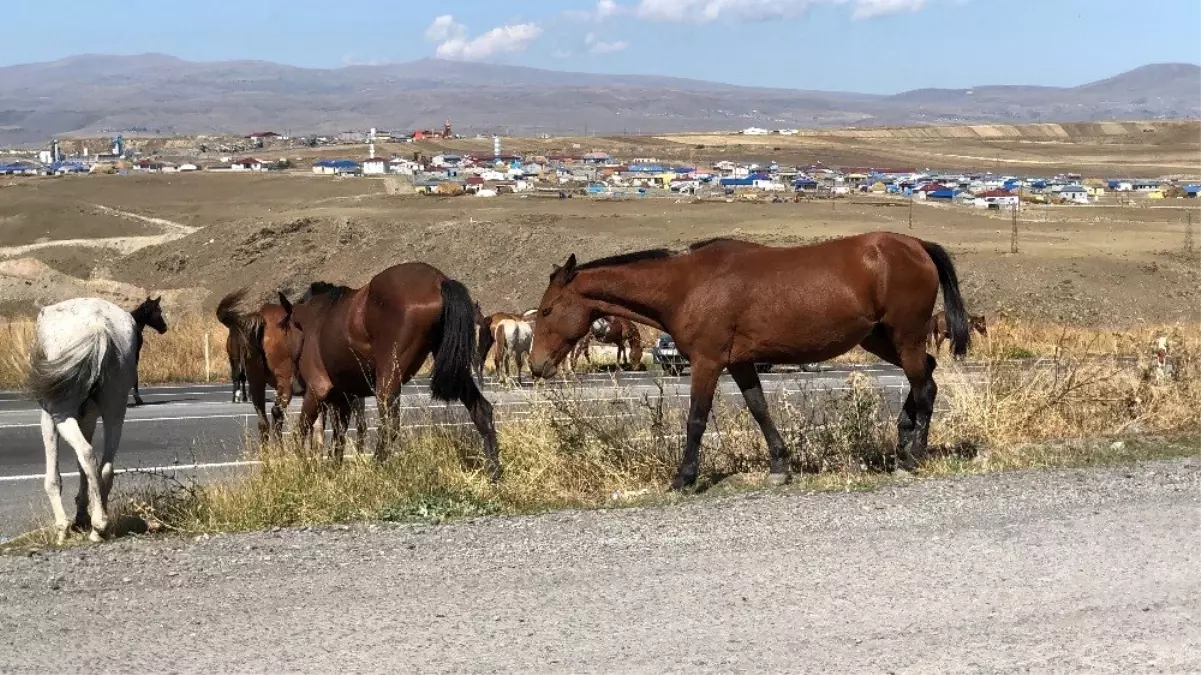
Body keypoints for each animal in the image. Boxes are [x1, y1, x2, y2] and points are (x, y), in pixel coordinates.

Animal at [27, 296, 166, 538]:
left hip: (64, 415)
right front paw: (81, 515)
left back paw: (98, 523)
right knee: (106, 466)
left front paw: (63, 528)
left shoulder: (49, 419)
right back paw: (98, 525)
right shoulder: (89, 418)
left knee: (87, 454)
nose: (164, 328)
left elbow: (54, 477)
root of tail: (98, 325)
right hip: (115, 410)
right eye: (156, 311)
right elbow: (81, 468)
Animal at [276, 263, 497, 478]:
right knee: (482, 411)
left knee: (389, 428)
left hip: (386, 383)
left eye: (285, 329)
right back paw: (494, 472)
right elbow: (338, 440)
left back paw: (374, 471)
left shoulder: (317, 390)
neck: (316, 319)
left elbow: (301, 431)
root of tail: (439, 280)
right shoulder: (344, 399)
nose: (294, 384)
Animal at [530, 230, 970, 487]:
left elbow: (696, 419)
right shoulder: (740, 363)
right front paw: (779, 465)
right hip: (882, 339)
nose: (537, 365)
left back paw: (913, 455)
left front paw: (685, 476)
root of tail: (916, 246)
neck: (686, 285)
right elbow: (759, 409)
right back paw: (903, 438)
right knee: (925, 375)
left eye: (548, 310)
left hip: (903, 335)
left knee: (925, 387)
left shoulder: (708, 362)